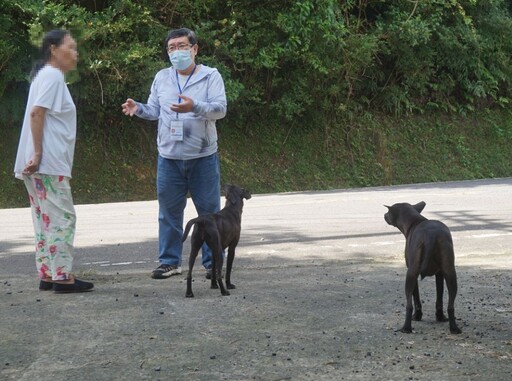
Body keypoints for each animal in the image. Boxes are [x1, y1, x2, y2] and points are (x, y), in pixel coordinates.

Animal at [384, 202, 460, 332]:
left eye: (388, 212)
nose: (384, 215)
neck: (415, 220)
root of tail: (431, 236)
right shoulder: (439, 274)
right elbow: (439, 297)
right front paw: (440, 317)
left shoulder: (413, 272)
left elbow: (416, 298)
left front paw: (417, 316)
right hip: (450, 273)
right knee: (451, 305)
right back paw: (454, 328)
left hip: (411, 274)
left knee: (409, 305)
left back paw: (406, 328)